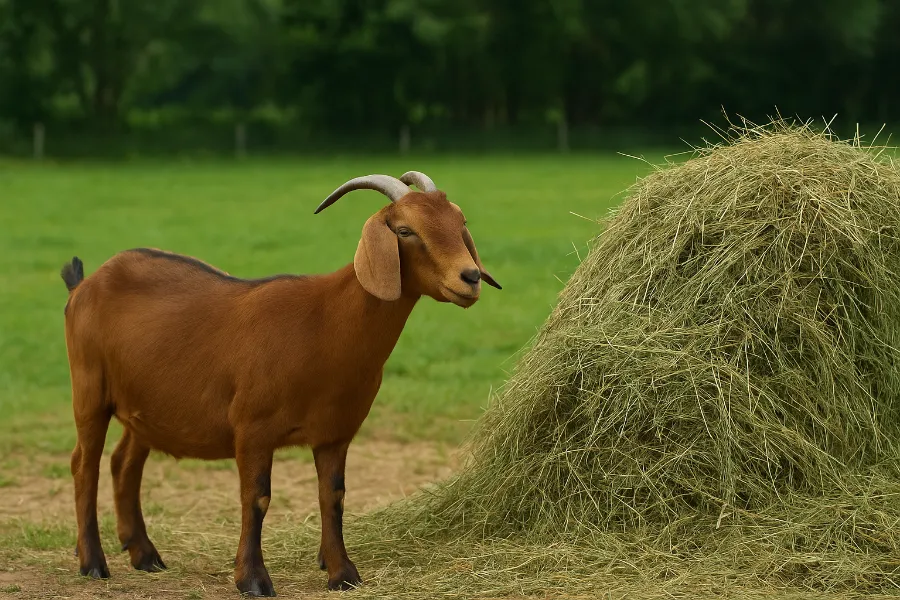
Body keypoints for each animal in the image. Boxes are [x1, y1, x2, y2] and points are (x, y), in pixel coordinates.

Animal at [60, 171, 500, 596]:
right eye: (406, 231)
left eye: (459, 222)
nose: (470, 278)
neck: (323, 323)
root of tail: (86, 283)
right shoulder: (252, 429)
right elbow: (257, 498)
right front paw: (253, 579)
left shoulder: (335, 432)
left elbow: (333, 497)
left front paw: (343, 574)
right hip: (89, 388)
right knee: (84, 464)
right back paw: (93, 562)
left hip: (146, 406)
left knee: (124, 463)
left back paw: (144, 554)